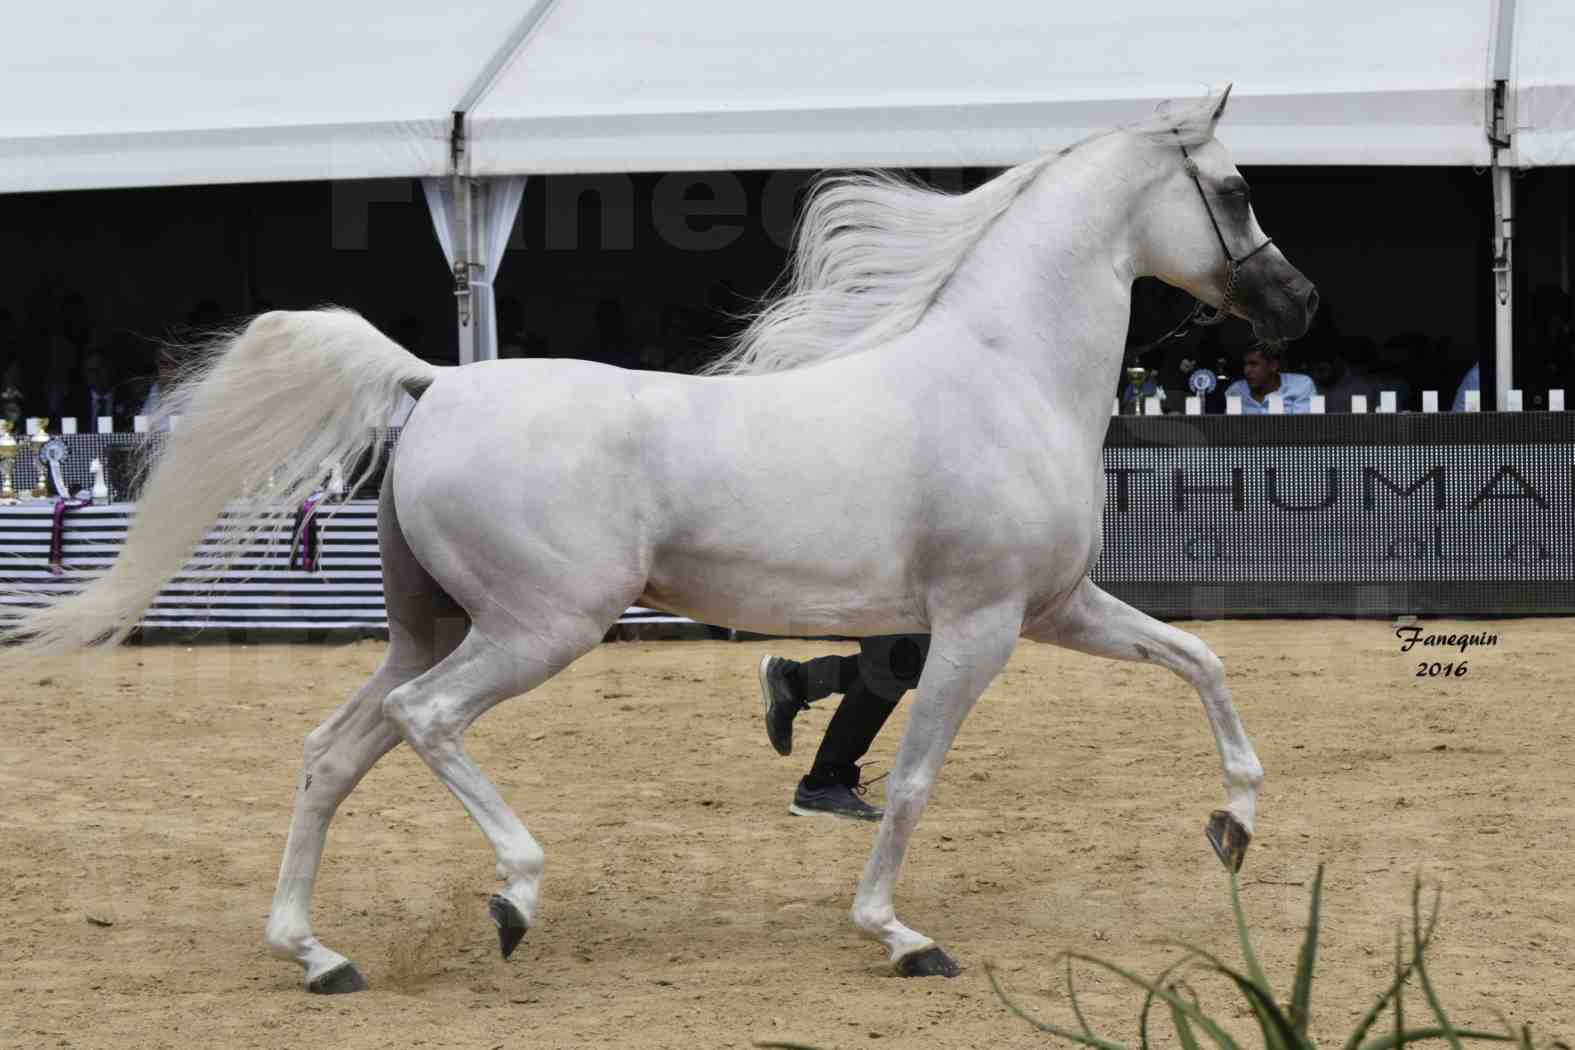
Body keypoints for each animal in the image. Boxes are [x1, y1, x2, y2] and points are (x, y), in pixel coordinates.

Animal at [12, 90, 1316, 994]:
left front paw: (1235, 829)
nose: (1298, 305)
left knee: (335, 750)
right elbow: (912, 779)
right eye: (1238, 189)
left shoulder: (1057, 609)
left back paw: (317, 955)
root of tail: (435, 382)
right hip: (541, 628)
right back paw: (513, 898)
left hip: (433, 628)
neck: (1006, 376)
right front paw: (899, 936)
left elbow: (1202, 662)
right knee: (424, 723)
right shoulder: (981, 626)